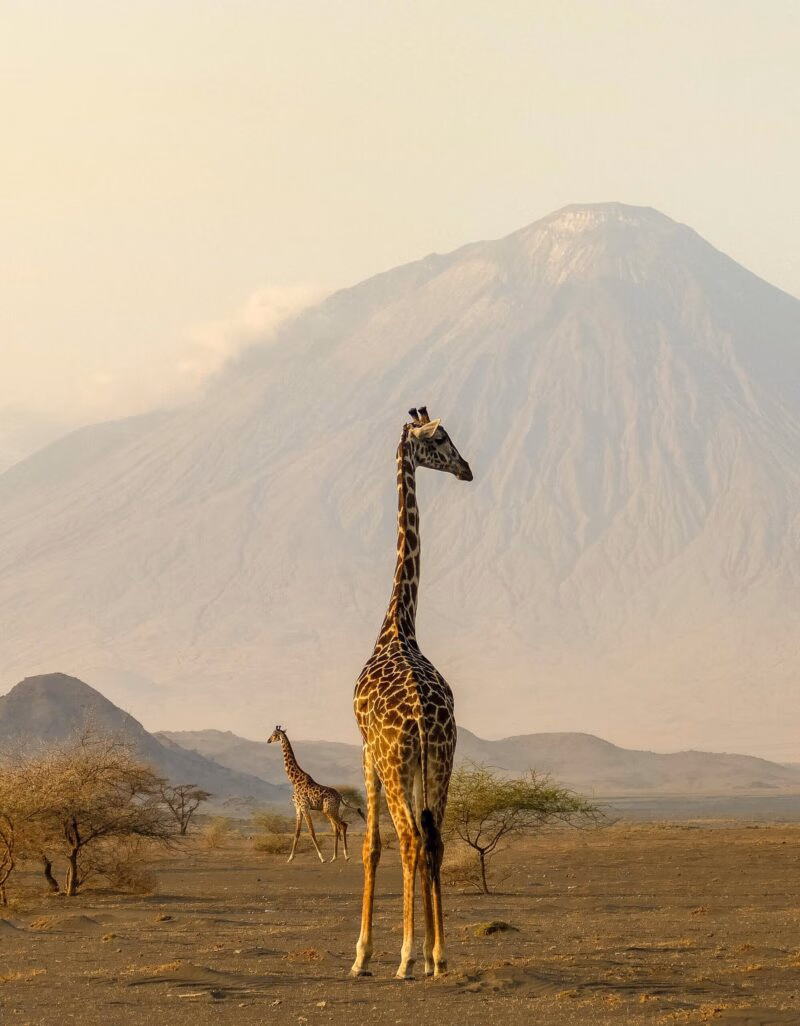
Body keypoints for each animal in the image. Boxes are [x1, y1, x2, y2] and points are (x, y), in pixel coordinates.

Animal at [267, 726, 365, 863]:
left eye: (274, 734)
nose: (268, 740)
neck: (294, 780)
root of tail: (340, 796)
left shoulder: (304, 807)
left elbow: (311, 831)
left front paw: (322, 857)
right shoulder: (298, 808)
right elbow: (297, 832)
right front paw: (290, 858)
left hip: (329, 810)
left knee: (342, 825)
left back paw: (346, 856)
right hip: (331, 810)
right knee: (337, 827)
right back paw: (334, 857)